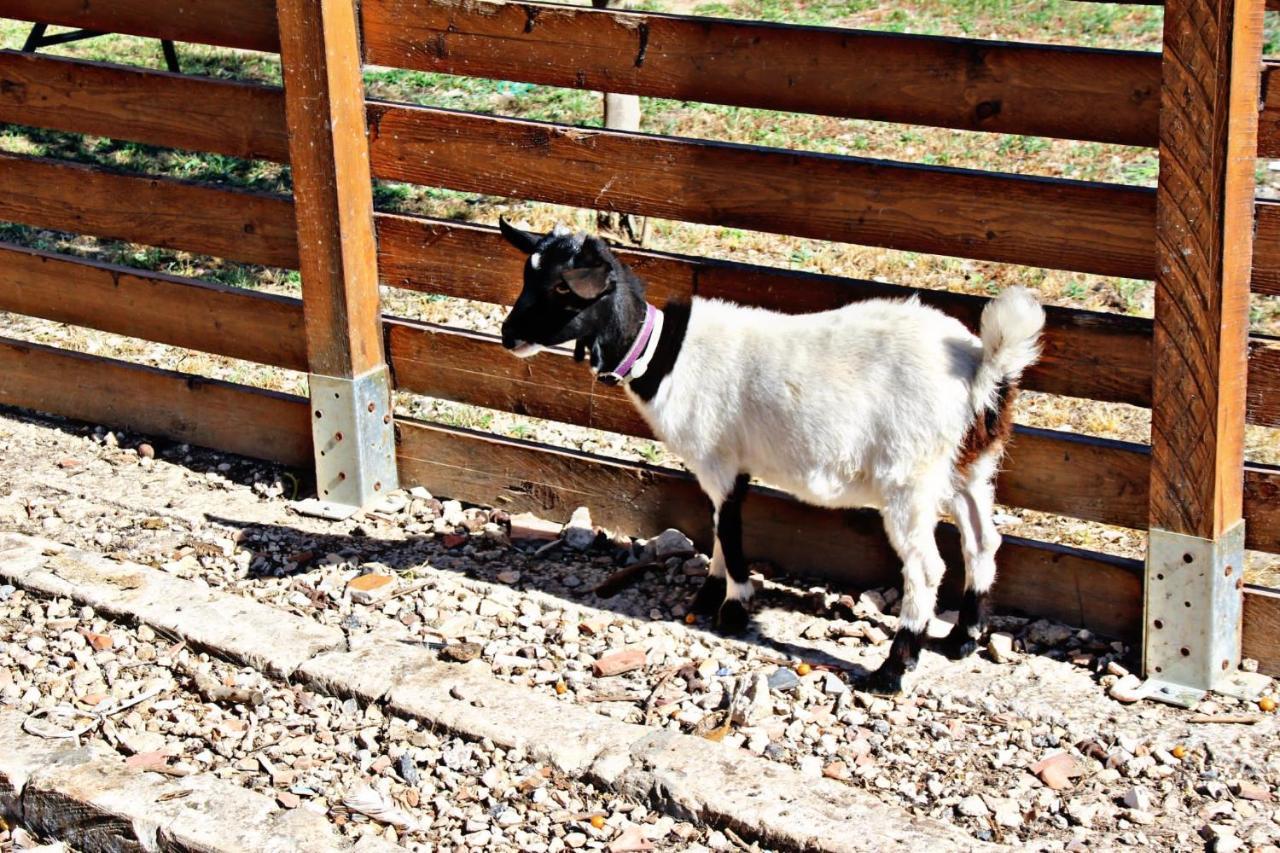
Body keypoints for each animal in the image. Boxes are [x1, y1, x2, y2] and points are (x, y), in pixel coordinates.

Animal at [494, 219, 1044, 691]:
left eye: (563, 288)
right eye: (528, 274)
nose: (508, 335)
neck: (663, 355)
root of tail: (984, 369)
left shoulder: (719, 459)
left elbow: (730, 530)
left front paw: (733, 608)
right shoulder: (724, 466)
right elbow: (718, 527)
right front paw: (708, 595)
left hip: (910, 475)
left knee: (927, 568)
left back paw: (892, 671)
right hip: (970, 467)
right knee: (983, 542)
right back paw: (962, 640)